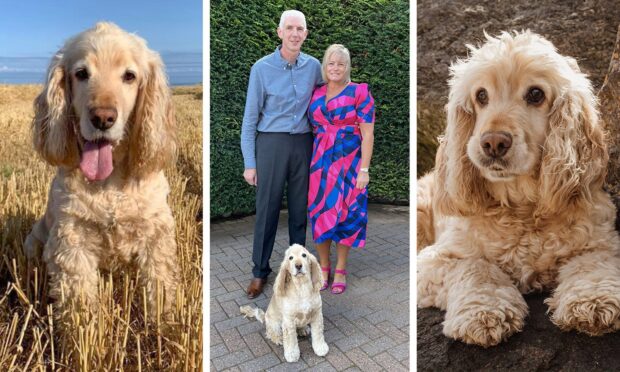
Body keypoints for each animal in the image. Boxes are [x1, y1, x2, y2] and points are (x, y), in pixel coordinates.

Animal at [23, 22, 178, 314]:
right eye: (82, 74)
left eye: (129, 76)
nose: (103, 118)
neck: (110, 181)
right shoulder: (72, 243)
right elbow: (79, 303)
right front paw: (79, 324)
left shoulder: (156, 236)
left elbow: (160, 288)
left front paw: (164, 320)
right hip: (34, 241)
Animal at [414, 30, 620, 348]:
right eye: (481, 95)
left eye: (535, 94)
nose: (493, 143)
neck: (523, 207)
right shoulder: (435, 260)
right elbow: (475, 267)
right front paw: (484, 313)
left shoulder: (602, 241)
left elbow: (592, 263)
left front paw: (593, 301)